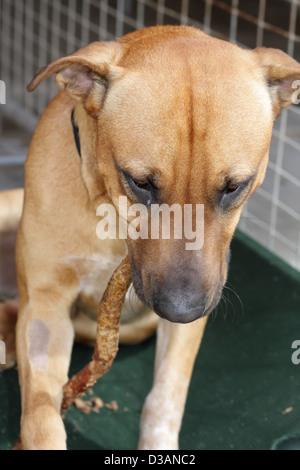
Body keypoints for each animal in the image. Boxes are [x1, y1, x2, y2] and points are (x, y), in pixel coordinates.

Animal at [1, 25, 300, 452]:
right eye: (140, 182)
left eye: (234, 187)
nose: (182, 309)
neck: (109, 215)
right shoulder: (46, 304)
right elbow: (41, 418)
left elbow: (165, 397)